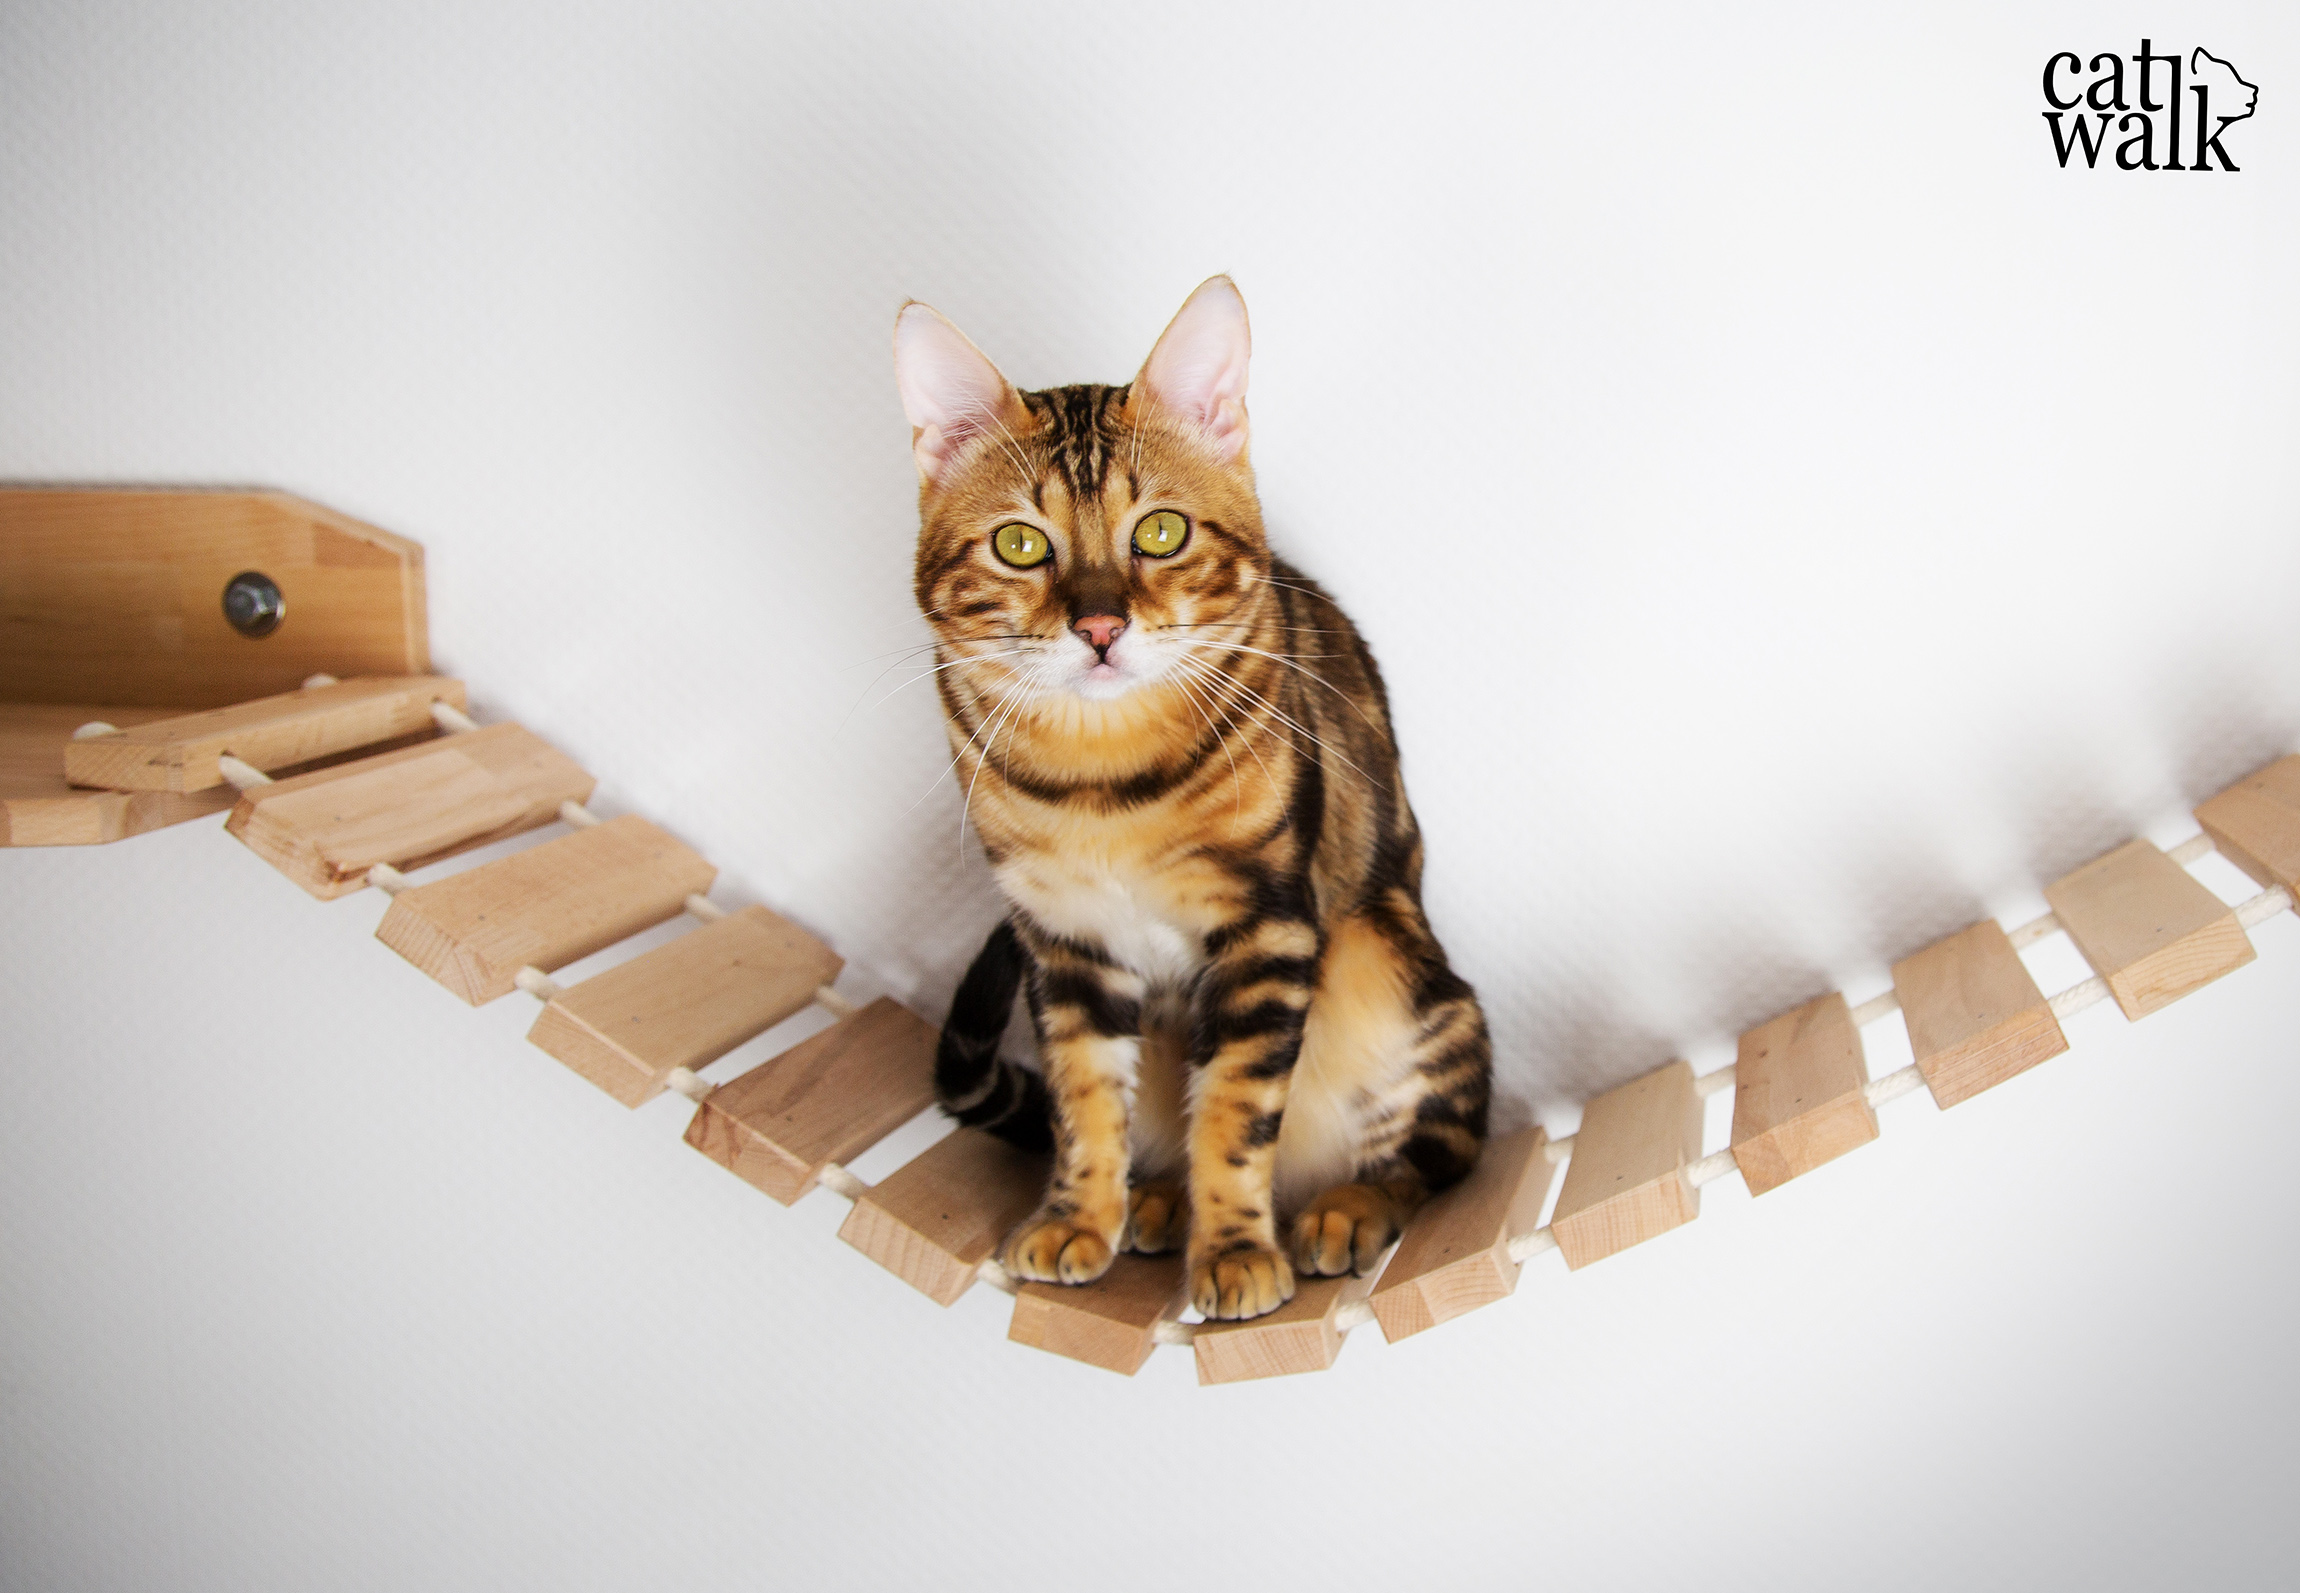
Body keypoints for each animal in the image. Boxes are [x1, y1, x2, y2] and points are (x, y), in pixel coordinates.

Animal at [887, 276, 1499, 1314]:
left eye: (1160, 532)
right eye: (1020, 543)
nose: (1099, 626)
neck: (1101, 781)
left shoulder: (1267, 925)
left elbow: (1236, 1109)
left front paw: (1237, 1250)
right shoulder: (1065, 942)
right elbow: (1085, 1098)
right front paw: (1079, 1217)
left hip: (1390, 966)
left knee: (1436, 1151)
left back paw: (1344, 1207)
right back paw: (1158, 1201)